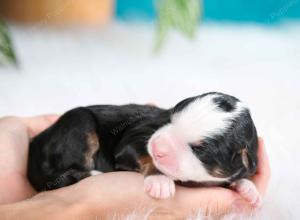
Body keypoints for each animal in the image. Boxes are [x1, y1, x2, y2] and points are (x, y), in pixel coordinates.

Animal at [28, 92, 262, 207]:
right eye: (170, 120)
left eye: (199, 149)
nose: (157, 146)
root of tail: (34, 146)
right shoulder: (131, 139)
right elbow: (142, 153)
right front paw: (159, 180)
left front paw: (248, 189)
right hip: (79, 123)